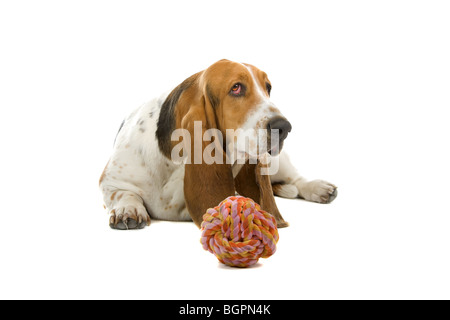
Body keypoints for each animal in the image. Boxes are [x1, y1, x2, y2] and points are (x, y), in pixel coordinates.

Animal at [98, 59, 338, 230]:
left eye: (268, 87)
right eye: (236, 88)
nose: (284, 127)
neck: (174, 163)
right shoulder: (110, 181)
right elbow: (123, 193)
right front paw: (128, 209)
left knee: (296, 179)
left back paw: (318, 188)